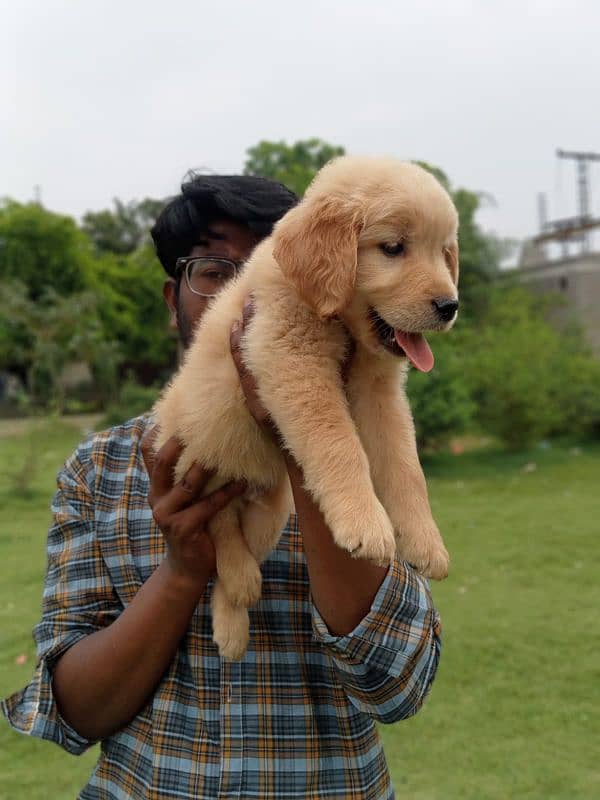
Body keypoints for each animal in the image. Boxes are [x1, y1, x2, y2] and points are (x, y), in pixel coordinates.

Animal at [155, 155, 460, 656]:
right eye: (393, 248)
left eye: (443, 252)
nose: (450, 305)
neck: (333, 315)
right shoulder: (293, 361)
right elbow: (338, 443)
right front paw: (364, 523)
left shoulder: (380, 391)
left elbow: (405, 467)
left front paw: (424, 541)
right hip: (194, 465)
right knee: (216, 525)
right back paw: (240, 583)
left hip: (273, 510)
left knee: (226, 554)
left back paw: (233, 619)